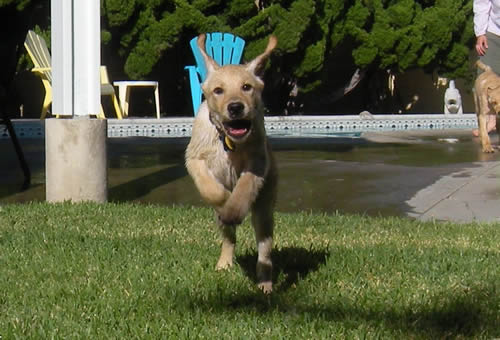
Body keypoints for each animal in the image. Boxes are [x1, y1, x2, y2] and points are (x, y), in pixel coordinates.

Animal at [185, 35, 278, 294]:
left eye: (247, 87)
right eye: (218, 90)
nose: (235, 107)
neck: (228, 141)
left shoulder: (258, 162)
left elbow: (245, 186)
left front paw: (234, 207)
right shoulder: (194, 158)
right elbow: (211, 189)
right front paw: (225, 200)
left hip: (265, 211)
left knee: (264, 250)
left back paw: (265, 282)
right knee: (229, 239)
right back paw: (224, 263)